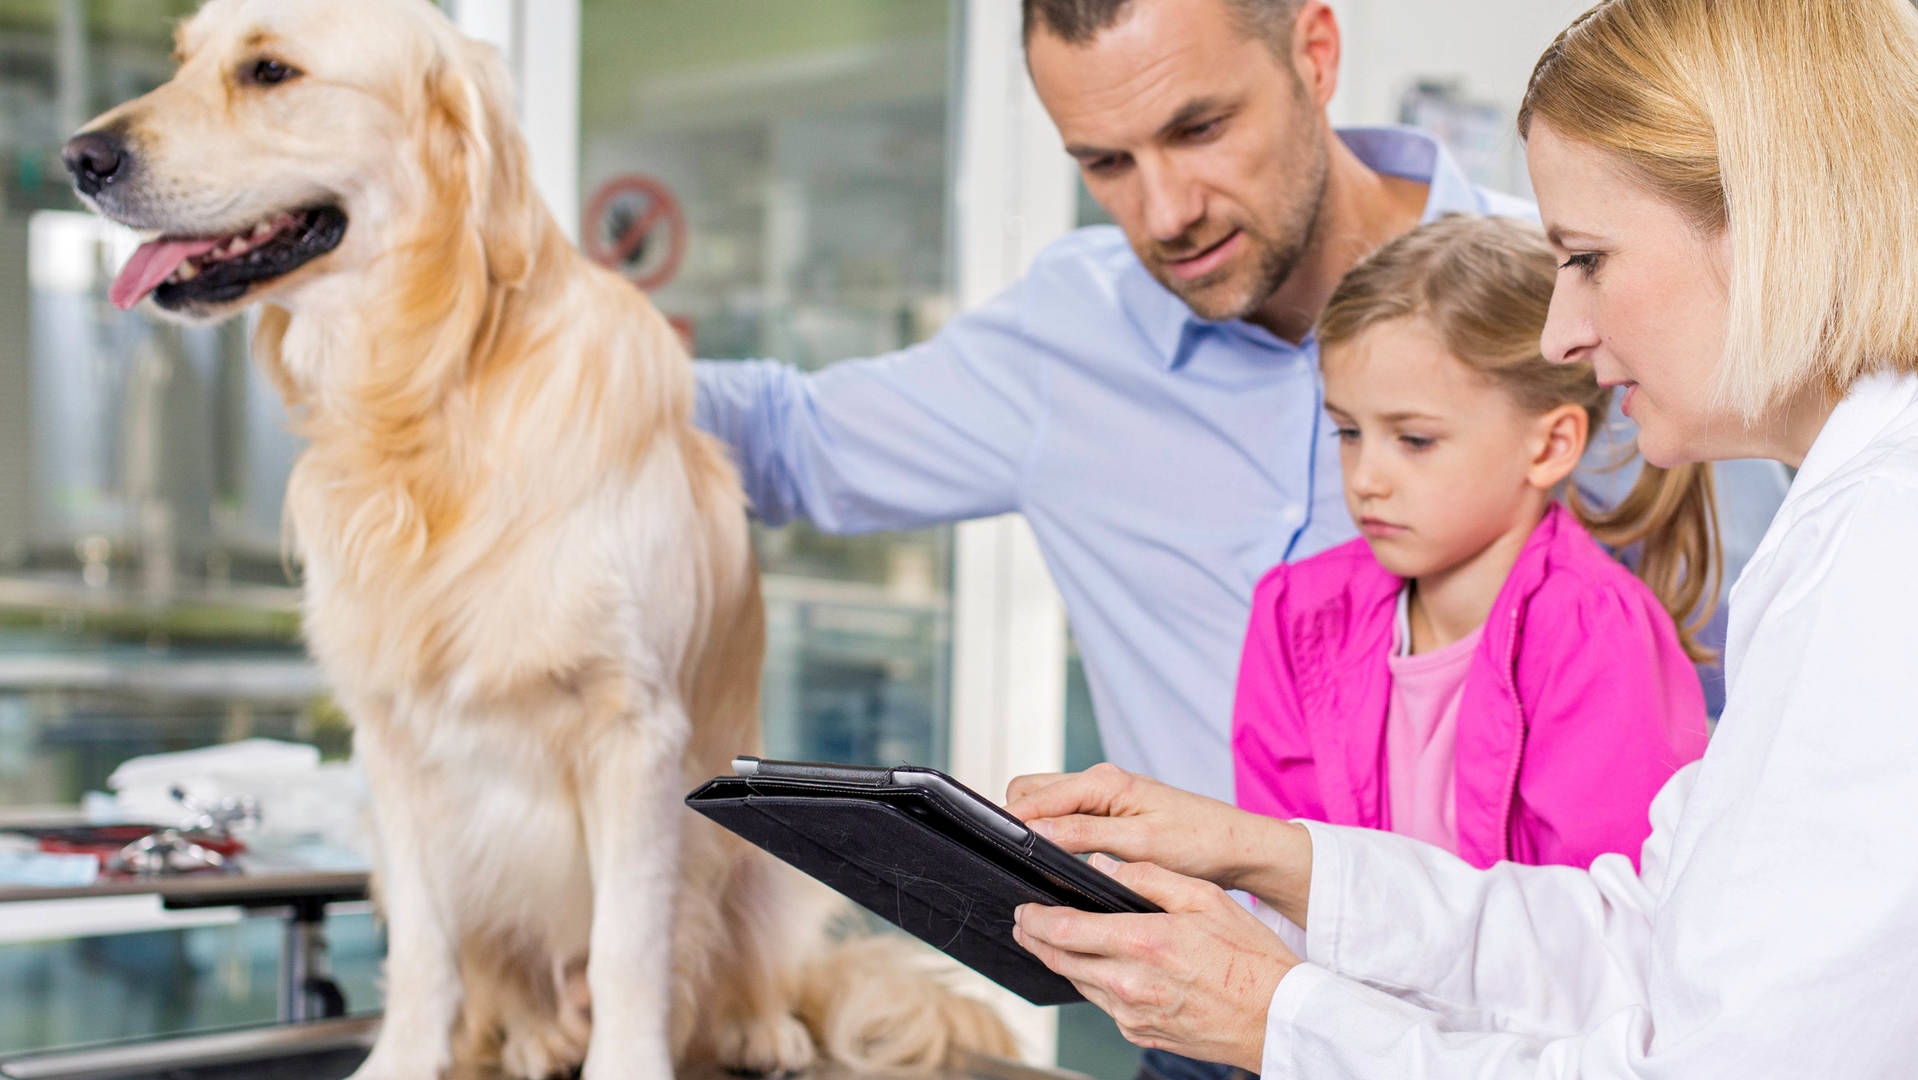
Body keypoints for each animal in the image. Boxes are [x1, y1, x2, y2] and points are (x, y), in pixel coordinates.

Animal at [61, 2, 1020, 1080]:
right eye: (180, 60)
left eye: (271, 71)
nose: (78, 157)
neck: (428, 395)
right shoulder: (391, 744)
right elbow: (426, 953)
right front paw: (403, 1059)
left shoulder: (636, 734)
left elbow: (628, 947)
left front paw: (630, 1061)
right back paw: (527, 1034)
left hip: (765, 858)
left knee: (748, 967)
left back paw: (758, 1027)